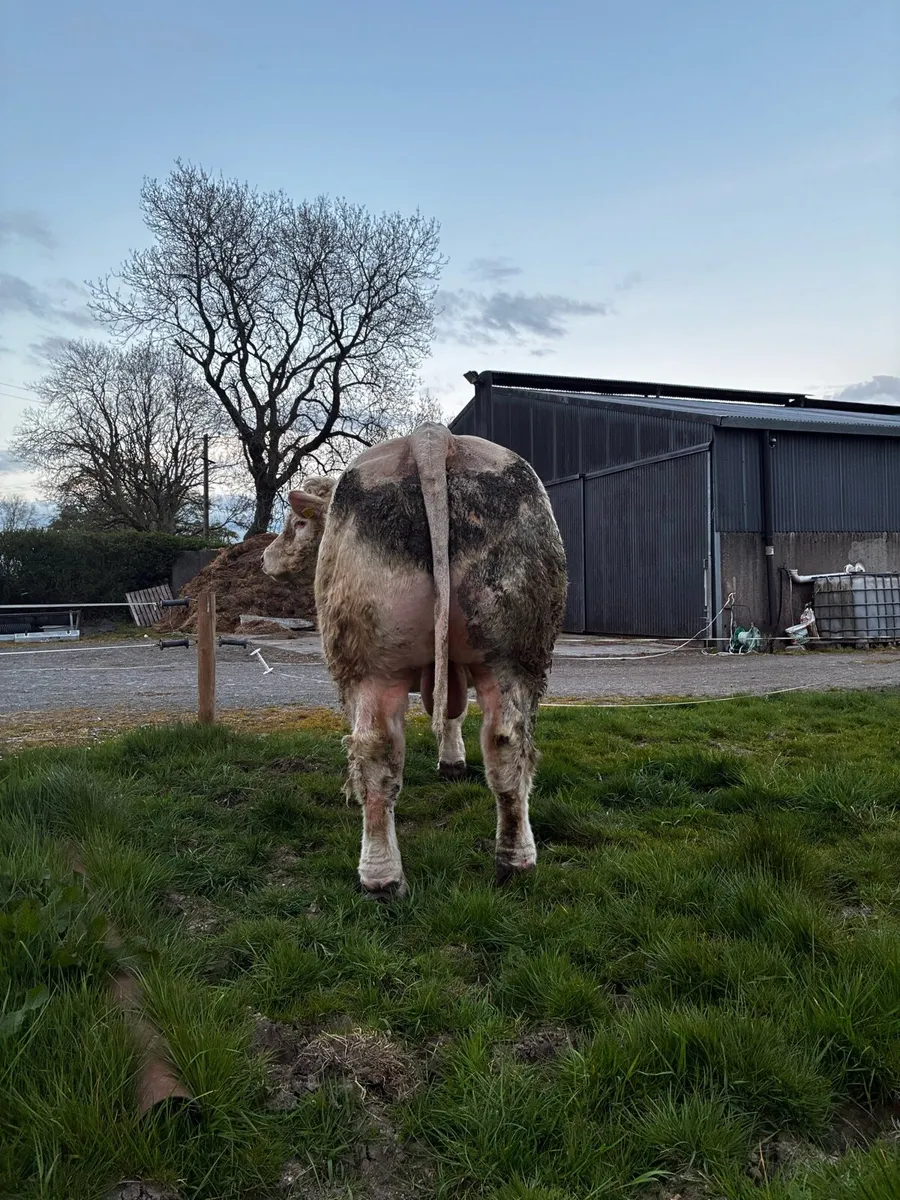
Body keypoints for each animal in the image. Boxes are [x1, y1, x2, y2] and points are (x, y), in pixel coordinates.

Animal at [262, 423, 567, 898]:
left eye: (296, 523)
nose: (264, 557)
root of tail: (432, 436)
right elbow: (453, 715)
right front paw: (452, 761)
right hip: (514, 654)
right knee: (507, 744)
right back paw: (515, 861)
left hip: (369, 665)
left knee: (375, 752)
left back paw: (380, 877)